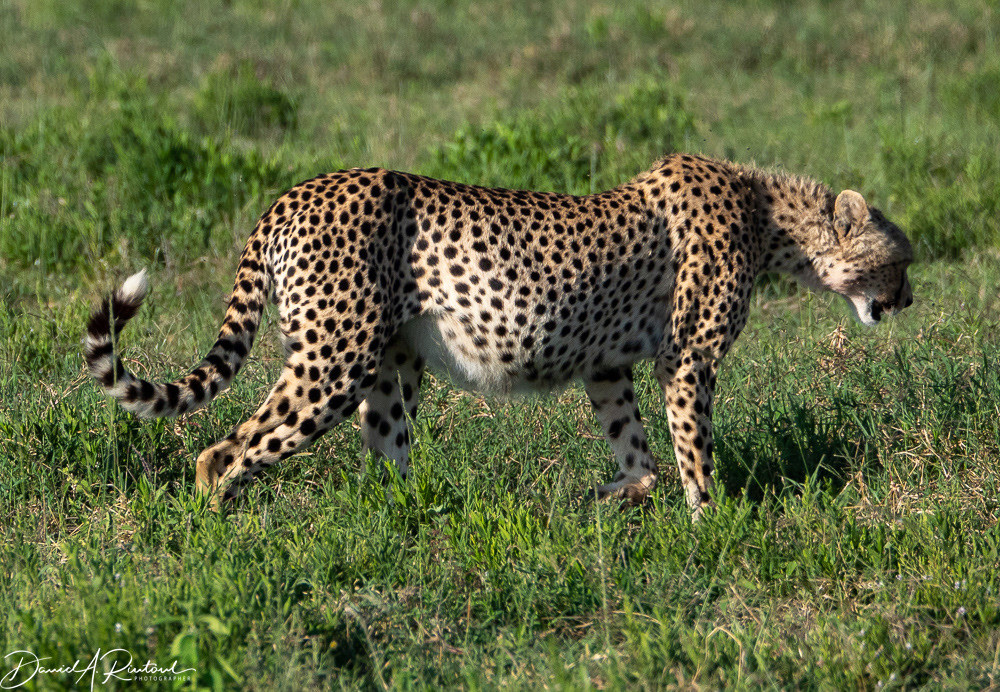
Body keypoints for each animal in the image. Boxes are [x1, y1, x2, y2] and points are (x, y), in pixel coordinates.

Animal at [85, 153, 914, 515]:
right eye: (899, 256)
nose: (908, 298)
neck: (769, 215)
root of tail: (296, 191)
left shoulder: (607, 368)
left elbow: (640, 457)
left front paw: (609, 495)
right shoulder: (687, 362)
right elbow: (693, 456)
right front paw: (714, 527)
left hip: (392, 367)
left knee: (385, 462)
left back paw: (411, 536)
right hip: (333, 361)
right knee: (221, 452)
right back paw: (215, 534)